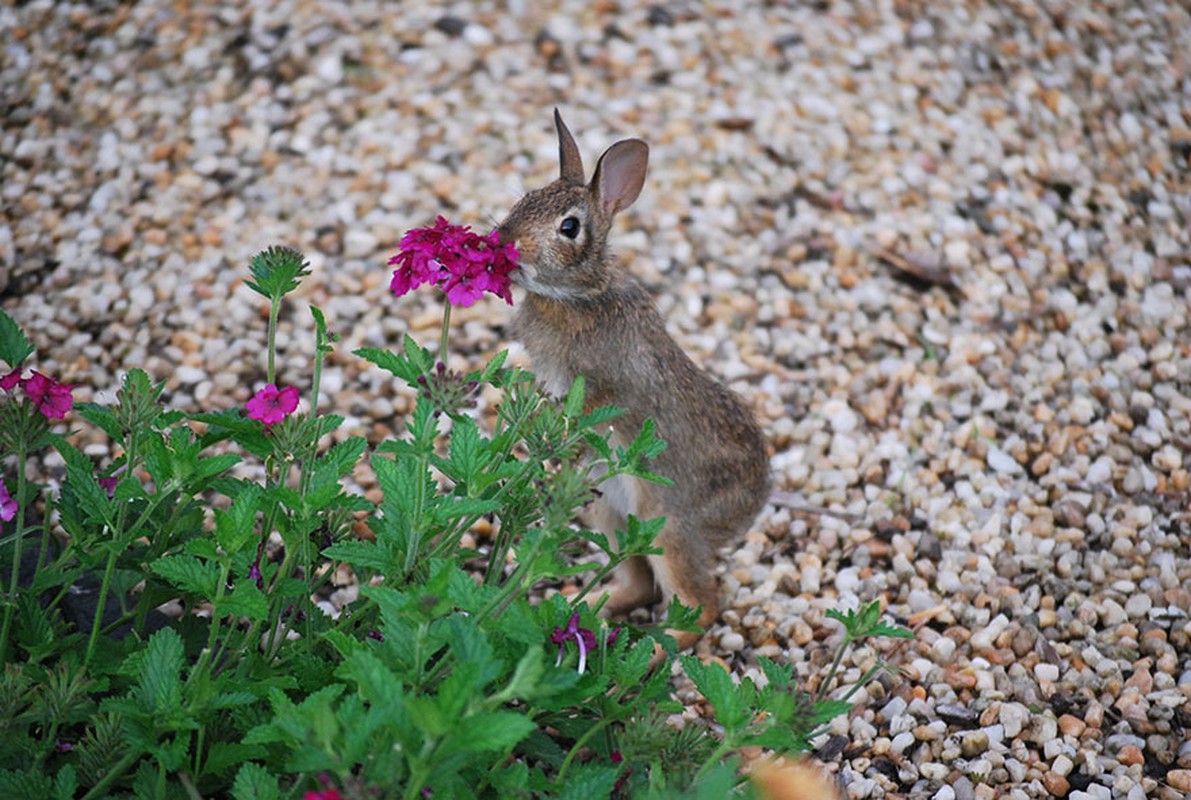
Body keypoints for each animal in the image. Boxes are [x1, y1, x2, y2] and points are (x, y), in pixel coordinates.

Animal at [495, 110, 767, 647]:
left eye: (570, 227)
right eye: (525, 198)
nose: (506, 243)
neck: (579, 295)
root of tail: (754, 506)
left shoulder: (604, 386)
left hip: (667, 526)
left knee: (699, 607)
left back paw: (651, 653)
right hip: (607, 513)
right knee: (638, 584)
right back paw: (586, 610)